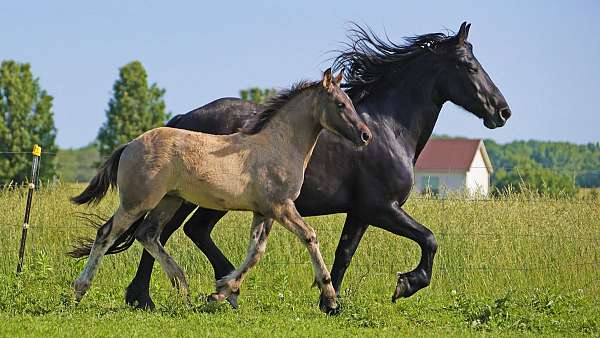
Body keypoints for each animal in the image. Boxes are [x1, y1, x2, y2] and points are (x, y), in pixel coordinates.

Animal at [120, 22, 510, 310]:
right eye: (469, 66)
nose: (502, 111)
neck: (388, 129)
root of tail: (183, 118)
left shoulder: (361, 211)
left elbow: (345, 252)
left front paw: (329, 300)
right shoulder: (382, 207)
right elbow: (429, 239)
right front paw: (404, 285)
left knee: (181, 231)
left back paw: (213, 288)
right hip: (193, 197)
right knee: (165, 231)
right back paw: (154, 296)